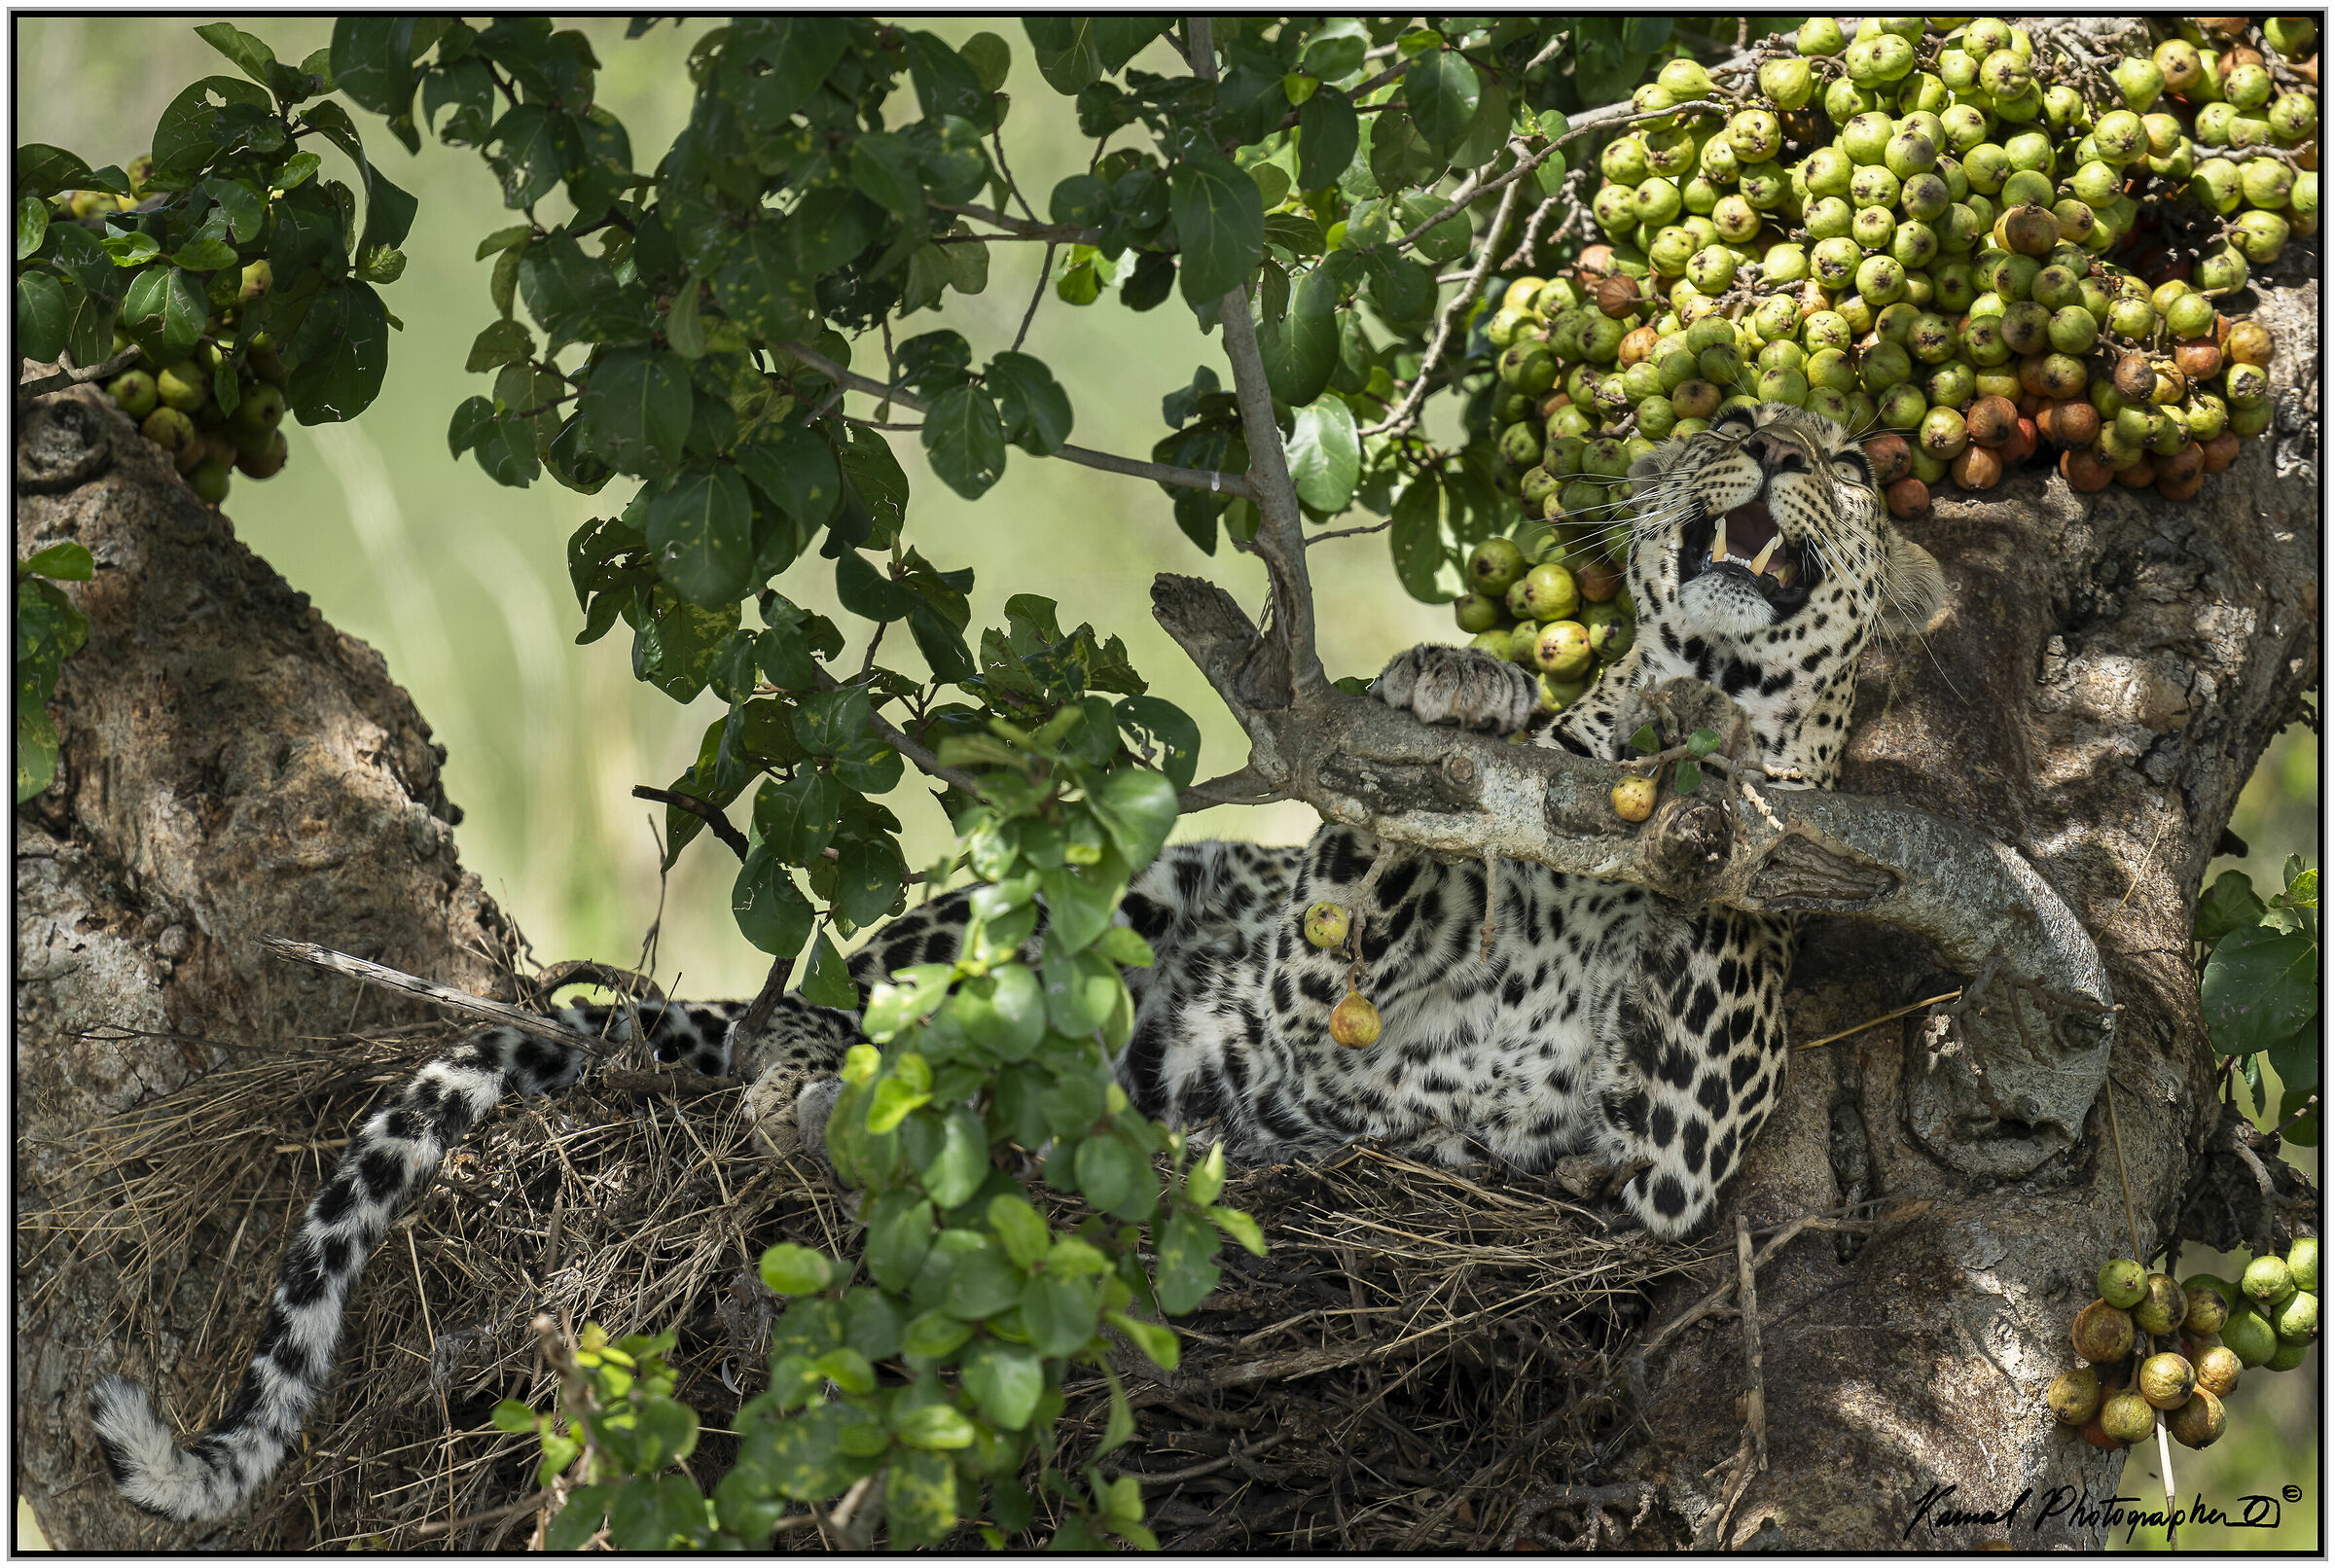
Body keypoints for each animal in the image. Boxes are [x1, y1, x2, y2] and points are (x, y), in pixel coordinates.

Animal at [91, 402, 1944, 1523]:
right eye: (1728, 423)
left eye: (1842, 456)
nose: (1769, 442)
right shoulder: (1337, 975)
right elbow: (1385, 857)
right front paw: (1464, 682)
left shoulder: (1669, 1149)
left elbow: (1741, 853)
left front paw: (1723, 757)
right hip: (1104, 898)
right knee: (864, 1010)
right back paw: (841, 1073)